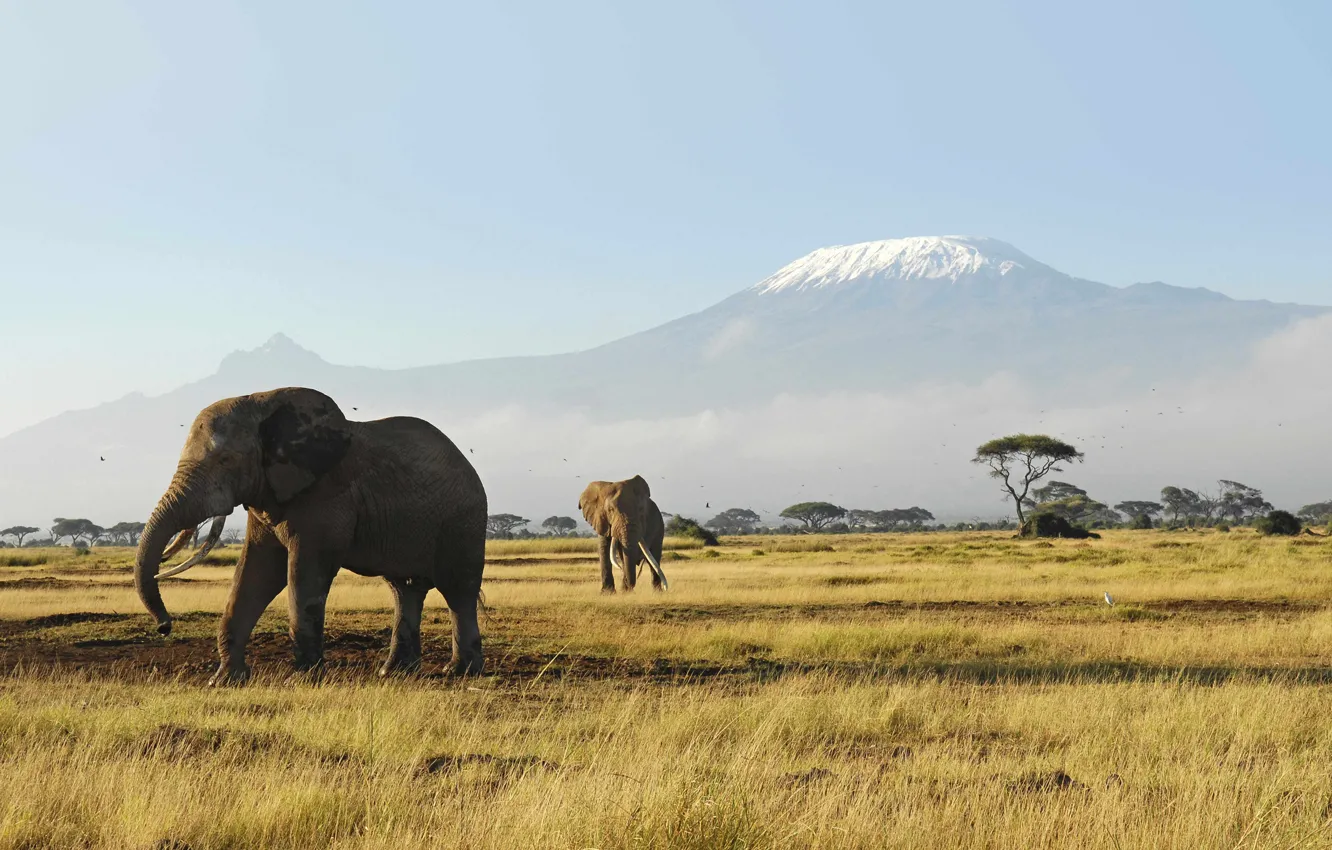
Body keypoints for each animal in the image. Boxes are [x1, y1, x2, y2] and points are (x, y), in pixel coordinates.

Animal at [134, 387, 488, 684]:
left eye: (226, 460)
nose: (164, 627)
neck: (262, 402)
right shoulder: (268, 493)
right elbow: (257, 572)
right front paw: (225, 681)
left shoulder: (326, 496)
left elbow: (304, 572)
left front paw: (305, 678)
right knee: (405, 589)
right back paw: (394, 672)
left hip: (463, 521)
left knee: (458, 591)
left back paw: (460, 672)